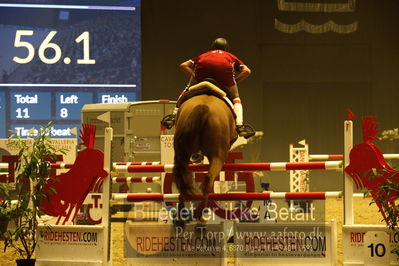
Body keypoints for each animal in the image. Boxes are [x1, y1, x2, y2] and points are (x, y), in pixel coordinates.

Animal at [172, 82, 238, 228]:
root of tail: (203, 107)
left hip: (181, 154)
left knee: (182, 177)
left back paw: (181, 218)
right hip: (218, 156)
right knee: (208, 180)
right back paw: (202, 219)